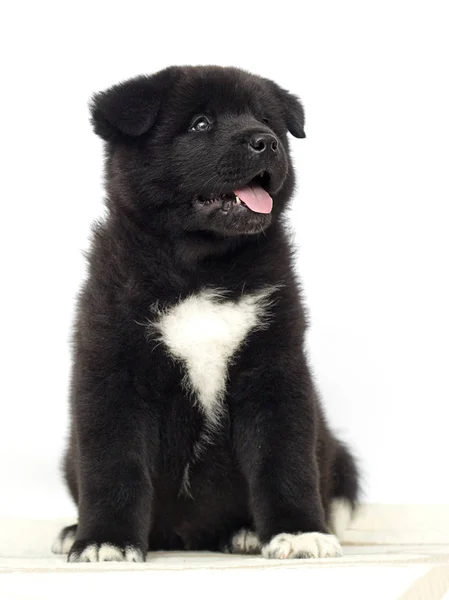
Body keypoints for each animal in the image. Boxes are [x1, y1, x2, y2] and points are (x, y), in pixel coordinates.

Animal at [53, 65, 360, 564]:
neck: (201, 270)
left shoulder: (275, 370)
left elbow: (285, 461)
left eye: (267, 120)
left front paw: (298, 532)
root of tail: (184, 536)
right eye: (201, 124)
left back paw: (245, 532)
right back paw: (72, 530)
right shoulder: (112, 370)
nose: (266, 142)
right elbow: (113, 465)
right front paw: (104, 540)